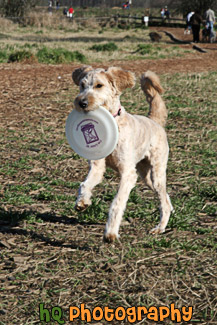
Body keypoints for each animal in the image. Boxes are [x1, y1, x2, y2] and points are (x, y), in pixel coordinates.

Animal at [71, 66, 173, 242]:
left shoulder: (128, 174)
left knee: (163, 200)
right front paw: (82, 202)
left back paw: (160, 228)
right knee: (165, 196)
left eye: (99, 85)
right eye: (82, 85)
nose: (81, 103)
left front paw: (110, 232)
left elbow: (117, 202)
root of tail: (154, 120)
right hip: (146, 176)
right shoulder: (97, 168)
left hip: (157, 173)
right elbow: (85, 184)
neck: (115, 122)